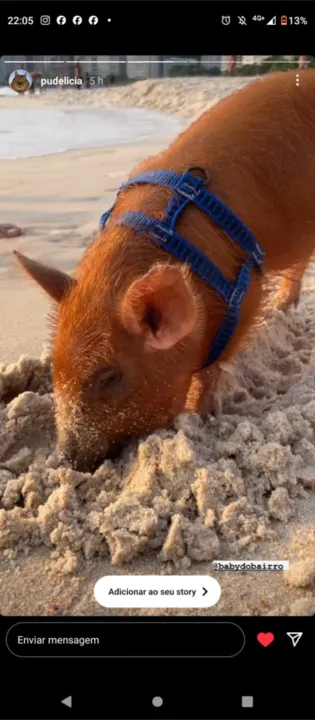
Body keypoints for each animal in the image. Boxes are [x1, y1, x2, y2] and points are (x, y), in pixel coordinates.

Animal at [14, 70, 315, 470]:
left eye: (110, 378)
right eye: (54, 369)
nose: (65, 460)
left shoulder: (246, 295)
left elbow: (212, 369)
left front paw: (199, 417)